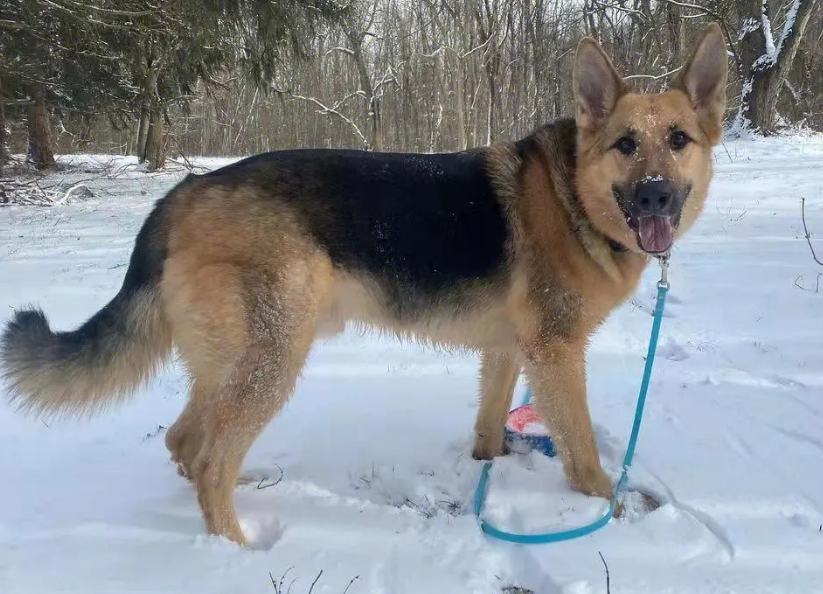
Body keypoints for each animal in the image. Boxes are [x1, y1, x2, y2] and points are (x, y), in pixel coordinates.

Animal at [4, 28, 728, 544]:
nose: (656, 196)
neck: (574, 192)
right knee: (210, 458)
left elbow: (489, 425)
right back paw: (237, 552)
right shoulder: (556, 355)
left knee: (187, 441)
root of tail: (183, 192)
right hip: (273, 360)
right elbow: (581, 451)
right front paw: (606, 508)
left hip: (230, 363)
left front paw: (487, 471)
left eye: (678, 139)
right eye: (626, 145)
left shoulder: (508, 352)